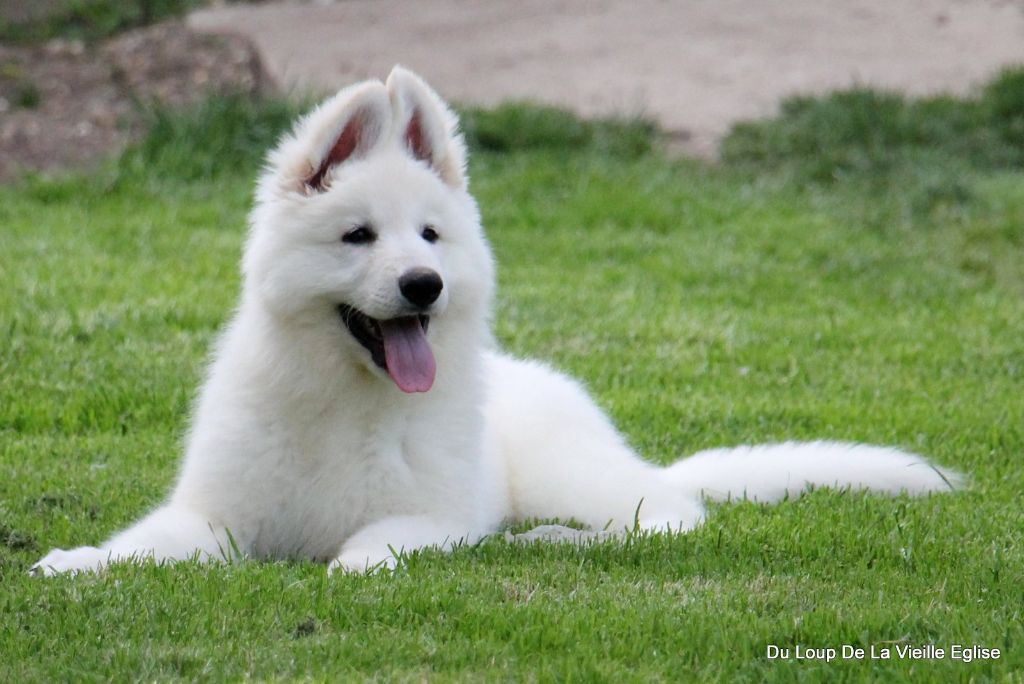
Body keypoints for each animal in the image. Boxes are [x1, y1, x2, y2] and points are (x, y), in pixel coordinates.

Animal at [34, 65, 958, 577]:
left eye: (430, 236)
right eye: (358, 236)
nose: (424, 285)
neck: (343, 402)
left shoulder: (434, 518)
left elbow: (376, 541)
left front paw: (355, 564)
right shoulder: (214, 520)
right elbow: (142, 544)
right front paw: (78, 563)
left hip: (571, 477)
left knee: (665, 515)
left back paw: (547, 540)